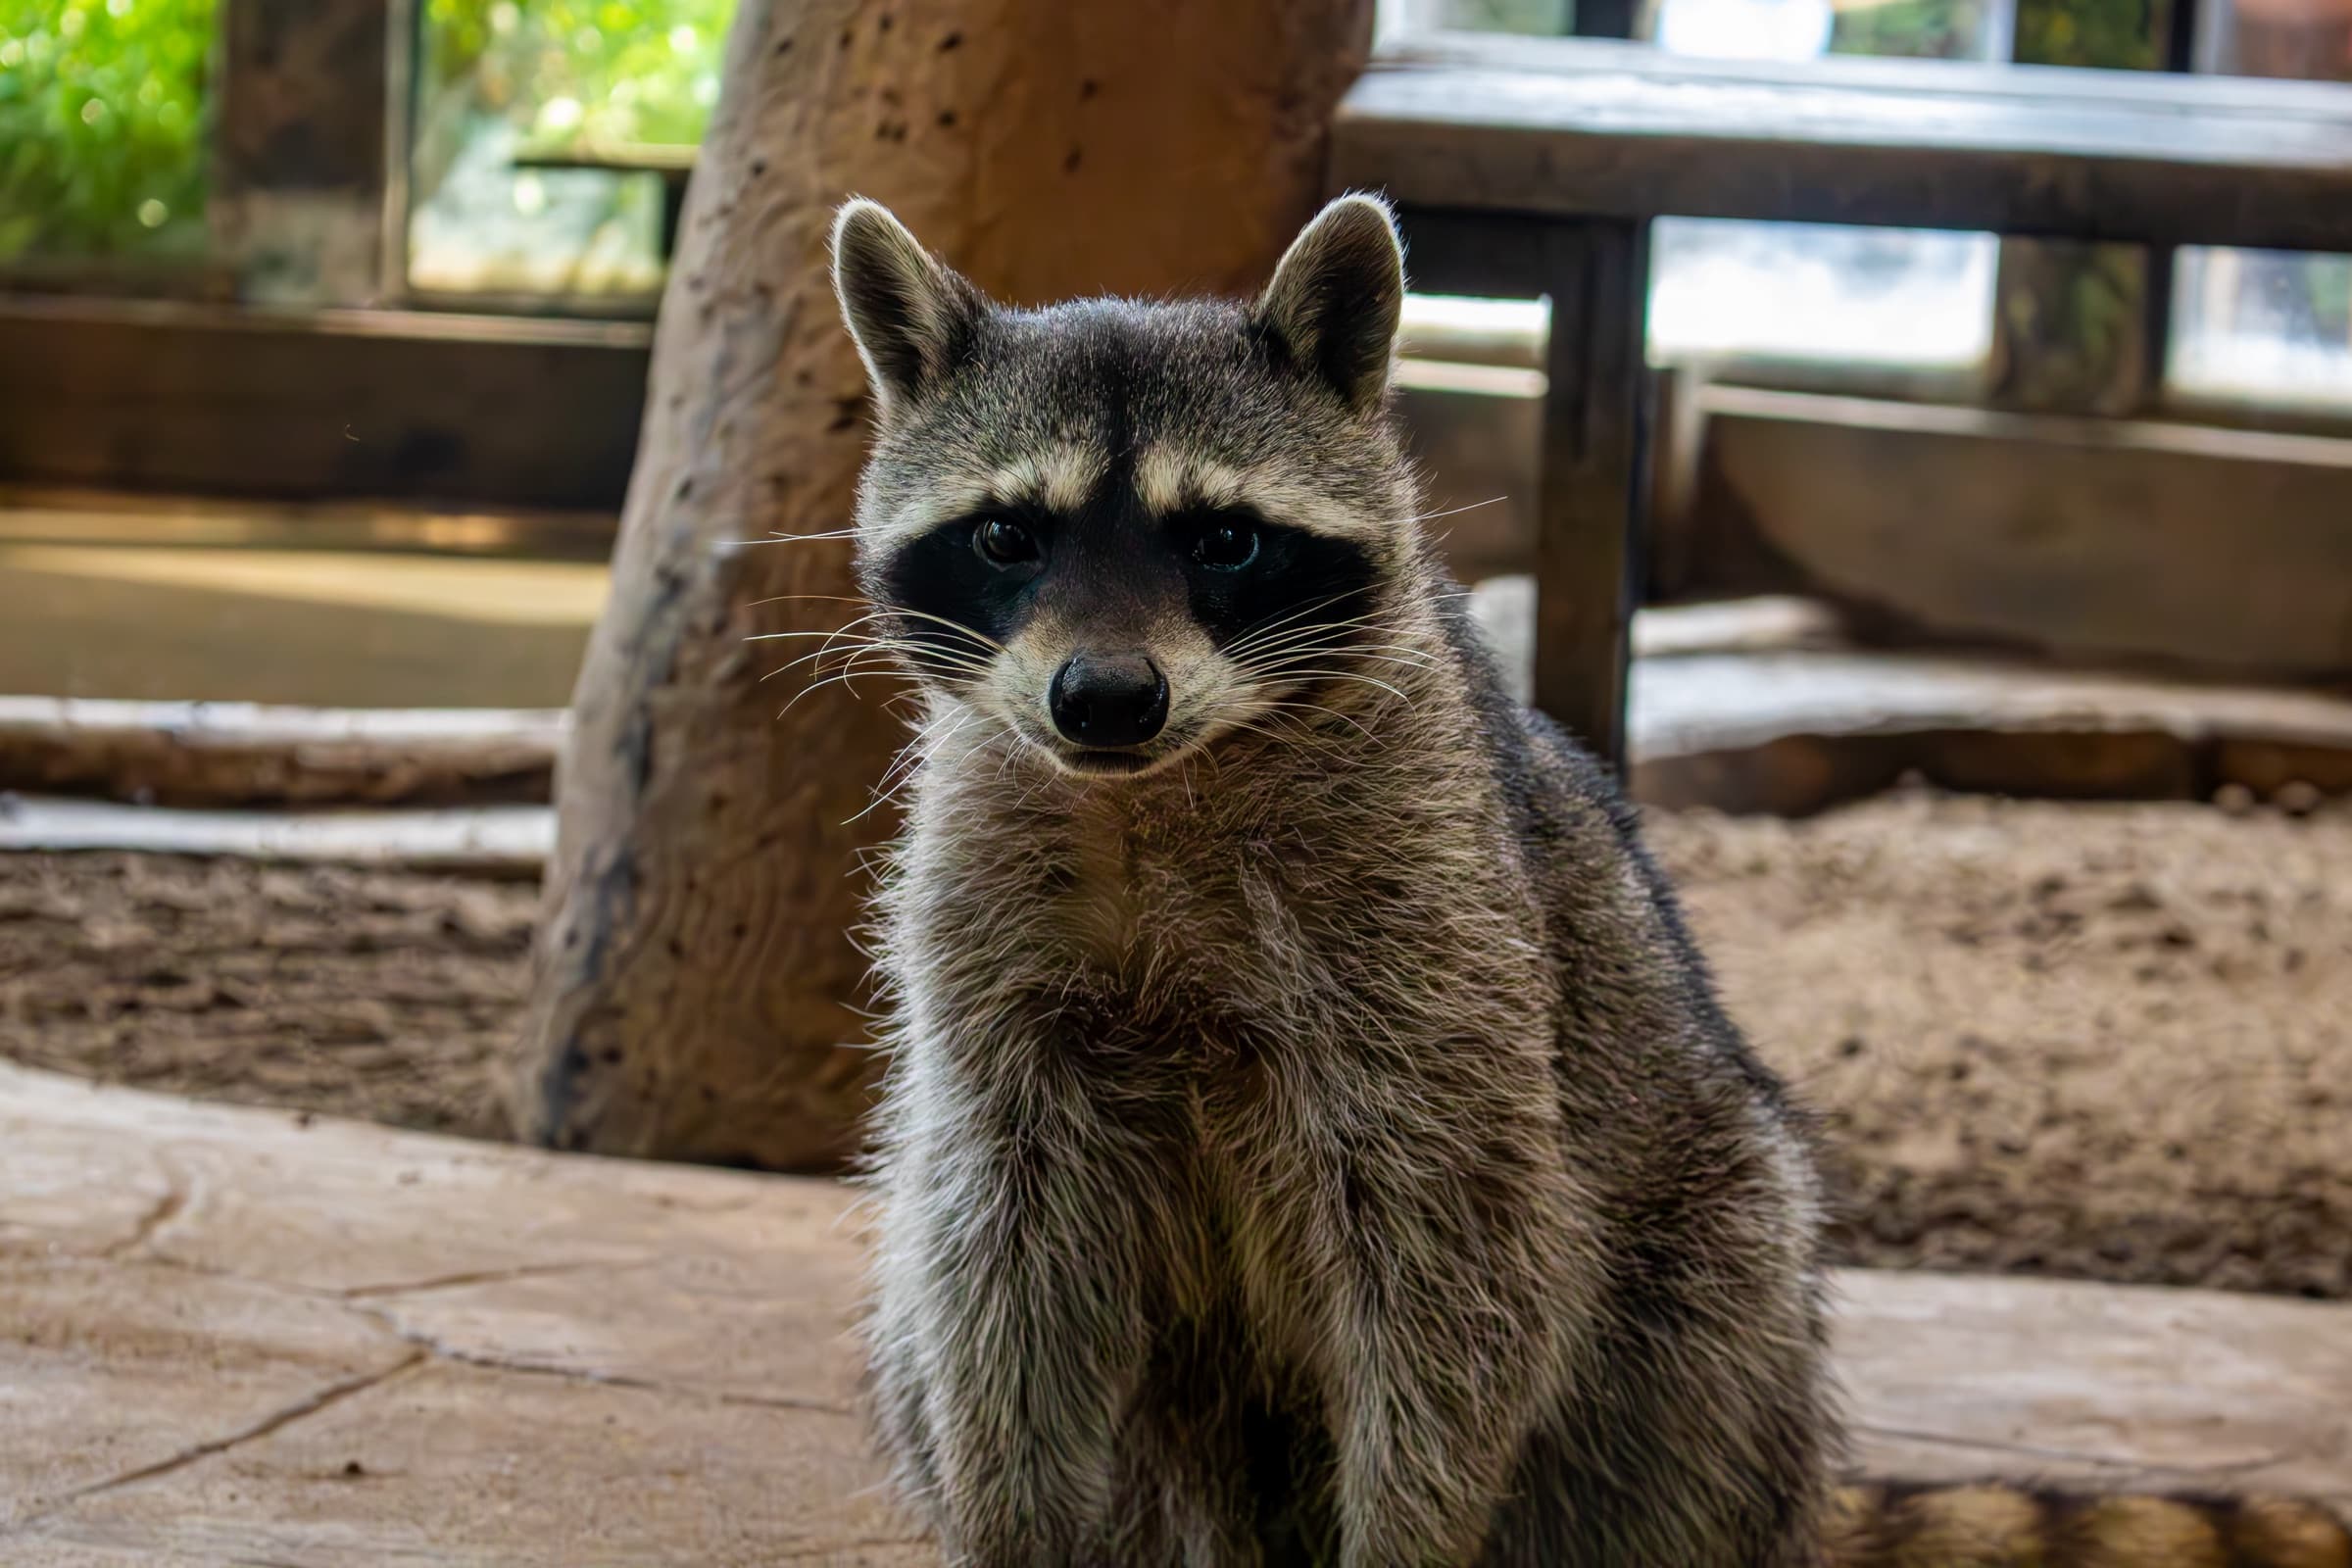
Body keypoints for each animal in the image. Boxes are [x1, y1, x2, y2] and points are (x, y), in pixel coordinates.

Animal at [824, 193, 2352, 1568]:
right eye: (1010, 536)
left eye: (1225, 540)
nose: (1104, 698)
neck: (1155, 788)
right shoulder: (990, 935)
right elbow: (999, 1246)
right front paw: (1014, 1522)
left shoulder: (1432, 920)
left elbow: (1466, 1251)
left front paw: (1412, 1535)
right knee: (918, 1290)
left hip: (1714, 1253)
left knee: (1678, 1375)